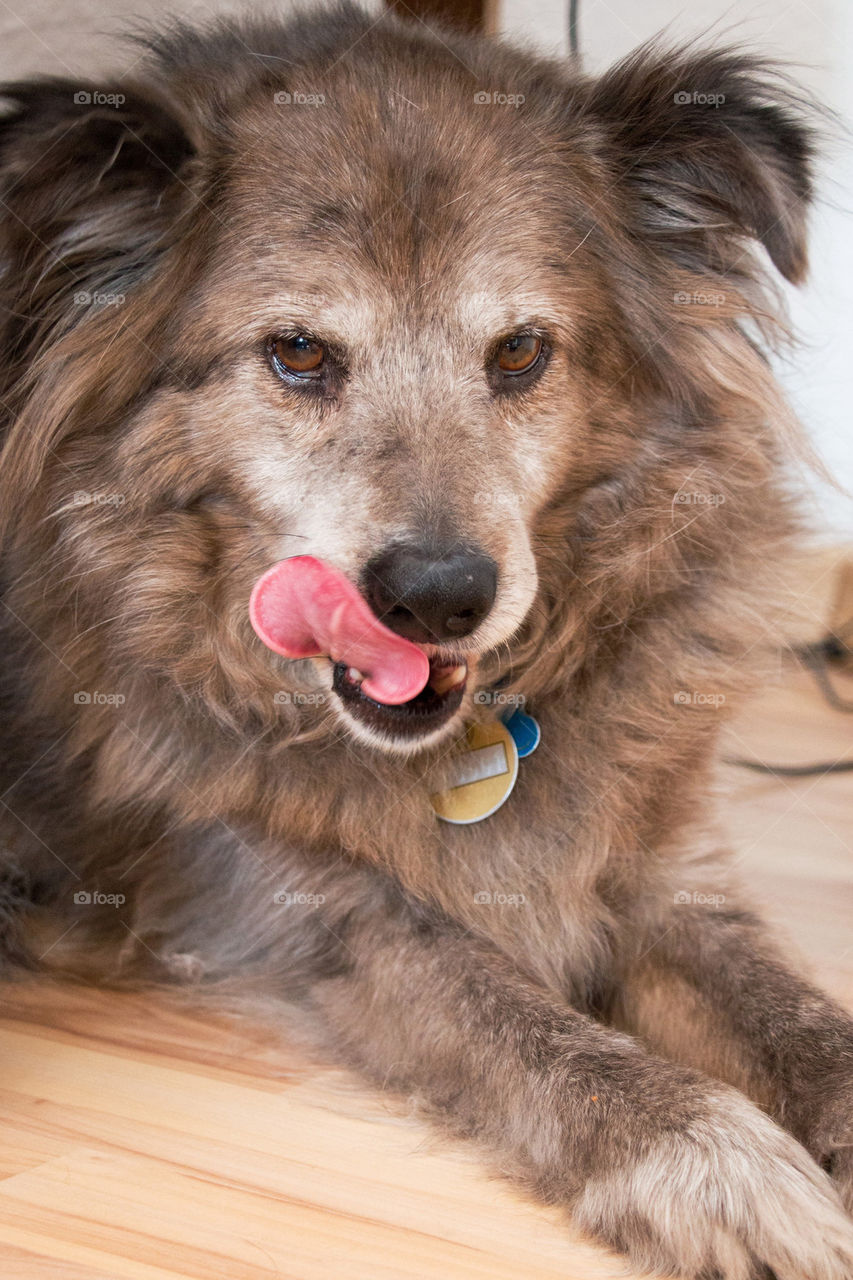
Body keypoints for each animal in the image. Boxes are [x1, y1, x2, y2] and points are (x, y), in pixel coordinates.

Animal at [1, 5, 850, 1274]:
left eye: (520, 352)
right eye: (299, 352)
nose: (439, 597)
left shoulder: (663, 866)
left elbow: (797, 1017)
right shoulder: (300, 904)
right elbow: (510, 1015)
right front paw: (716, 1160)